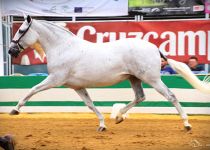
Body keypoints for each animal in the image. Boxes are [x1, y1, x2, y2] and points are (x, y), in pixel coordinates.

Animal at [8, 15, 210, 131]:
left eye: (21, 30)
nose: (11, 51)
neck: (63, 48)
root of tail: (155, 47)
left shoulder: (55, 79)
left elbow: (33, 89)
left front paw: (15, 110)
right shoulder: (77, 86)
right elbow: (90, 104)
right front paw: (102, 125)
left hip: (151, 78)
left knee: (171, 96)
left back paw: (186, 124)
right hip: (134, 78)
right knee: (140, 97)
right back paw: (119, 116)